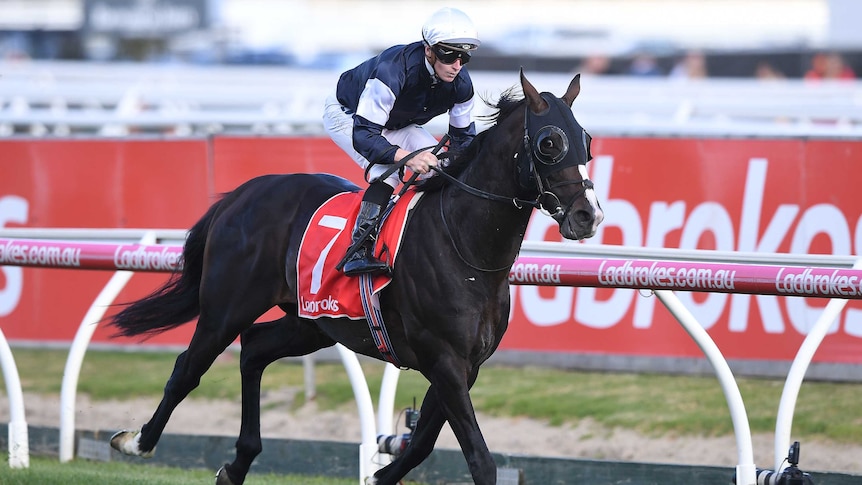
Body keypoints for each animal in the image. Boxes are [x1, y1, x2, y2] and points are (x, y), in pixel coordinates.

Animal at [108, 69, 604, 484]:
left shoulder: (466, 364)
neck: (465, 247)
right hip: (226, 307)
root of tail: (242, 193)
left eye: (586, 138)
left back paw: (238, 463)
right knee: (188, 368)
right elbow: (479, 460)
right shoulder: (443, 359)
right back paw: (136, 441)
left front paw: (380, 475)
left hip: (314, 321)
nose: (588, 215)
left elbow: (421, 443)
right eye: (549, 143)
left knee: (254, 349)